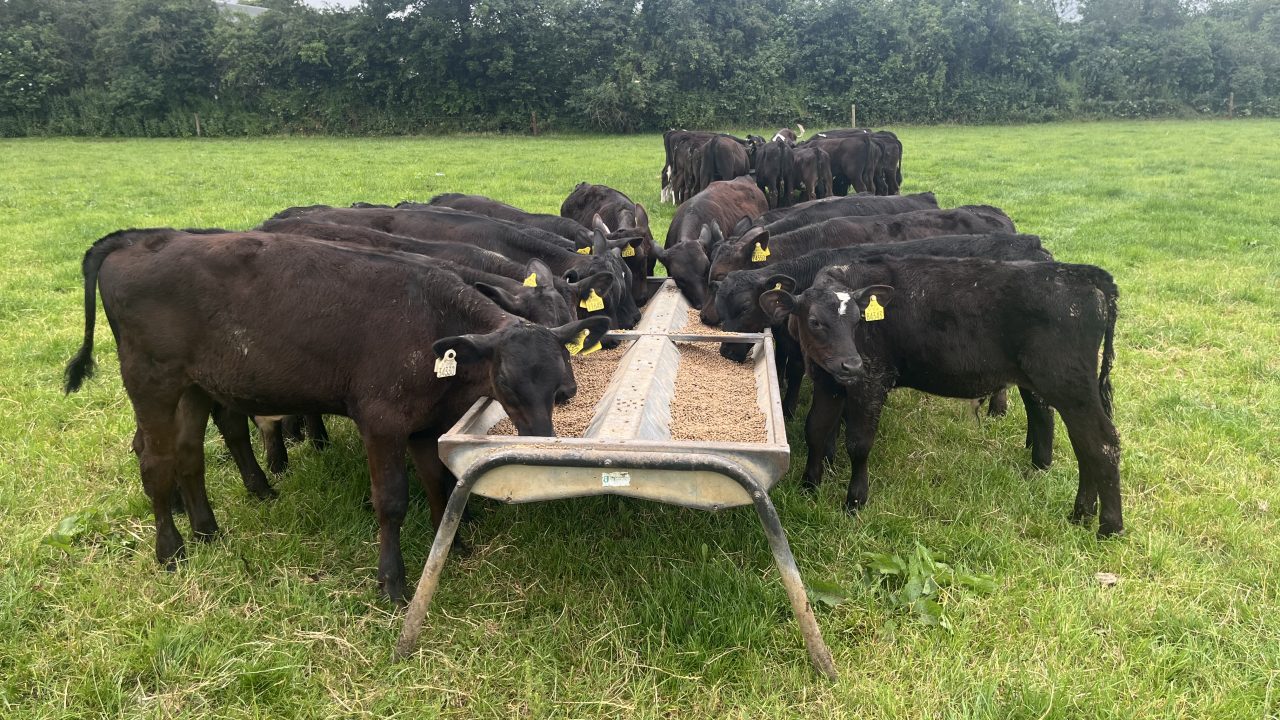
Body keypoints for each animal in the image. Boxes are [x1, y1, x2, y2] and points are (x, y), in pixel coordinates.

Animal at [63, 228, 612, 603]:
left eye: (560, 388)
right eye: (508, 386)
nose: (542, 440)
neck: (432, 326)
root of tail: (138, 239)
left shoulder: (425, 424)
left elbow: (437, 483)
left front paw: (451, 545)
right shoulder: (381, 421)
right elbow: (392, 501)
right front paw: (392, 582)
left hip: (195, 387)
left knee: (187, 455)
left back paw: (206, 529)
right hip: (150, 381)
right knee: (155, 462)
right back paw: (171, 549)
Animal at [757, 256, 1121, 537]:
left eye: (859, 320)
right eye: (815, 321)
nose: (851, 363)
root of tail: (1081, 274)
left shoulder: (871, 381)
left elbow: (858, 444)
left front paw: (855, 501)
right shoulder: (828, 382)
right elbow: (816, 431)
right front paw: (809, 485)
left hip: (1071, 386)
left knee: (1102, 444)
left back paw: (1108, 526)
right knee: (1083, 443)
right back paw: (1083, 514)